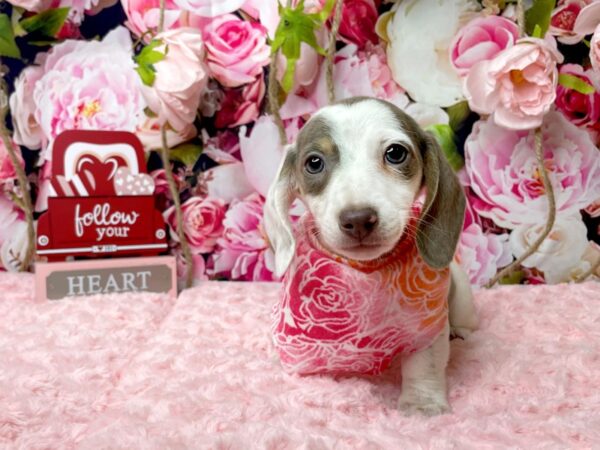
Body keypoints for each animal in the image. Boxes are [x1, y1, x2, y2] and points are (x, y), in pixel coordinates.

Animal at [264, 96, 476, 416]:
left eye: (396, 152)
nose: (358, 219)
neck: (367, 271)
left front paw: (422, 403)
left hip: (461, 293)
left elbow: (424, 364)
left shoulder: (428, 329)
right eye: (314, 162)